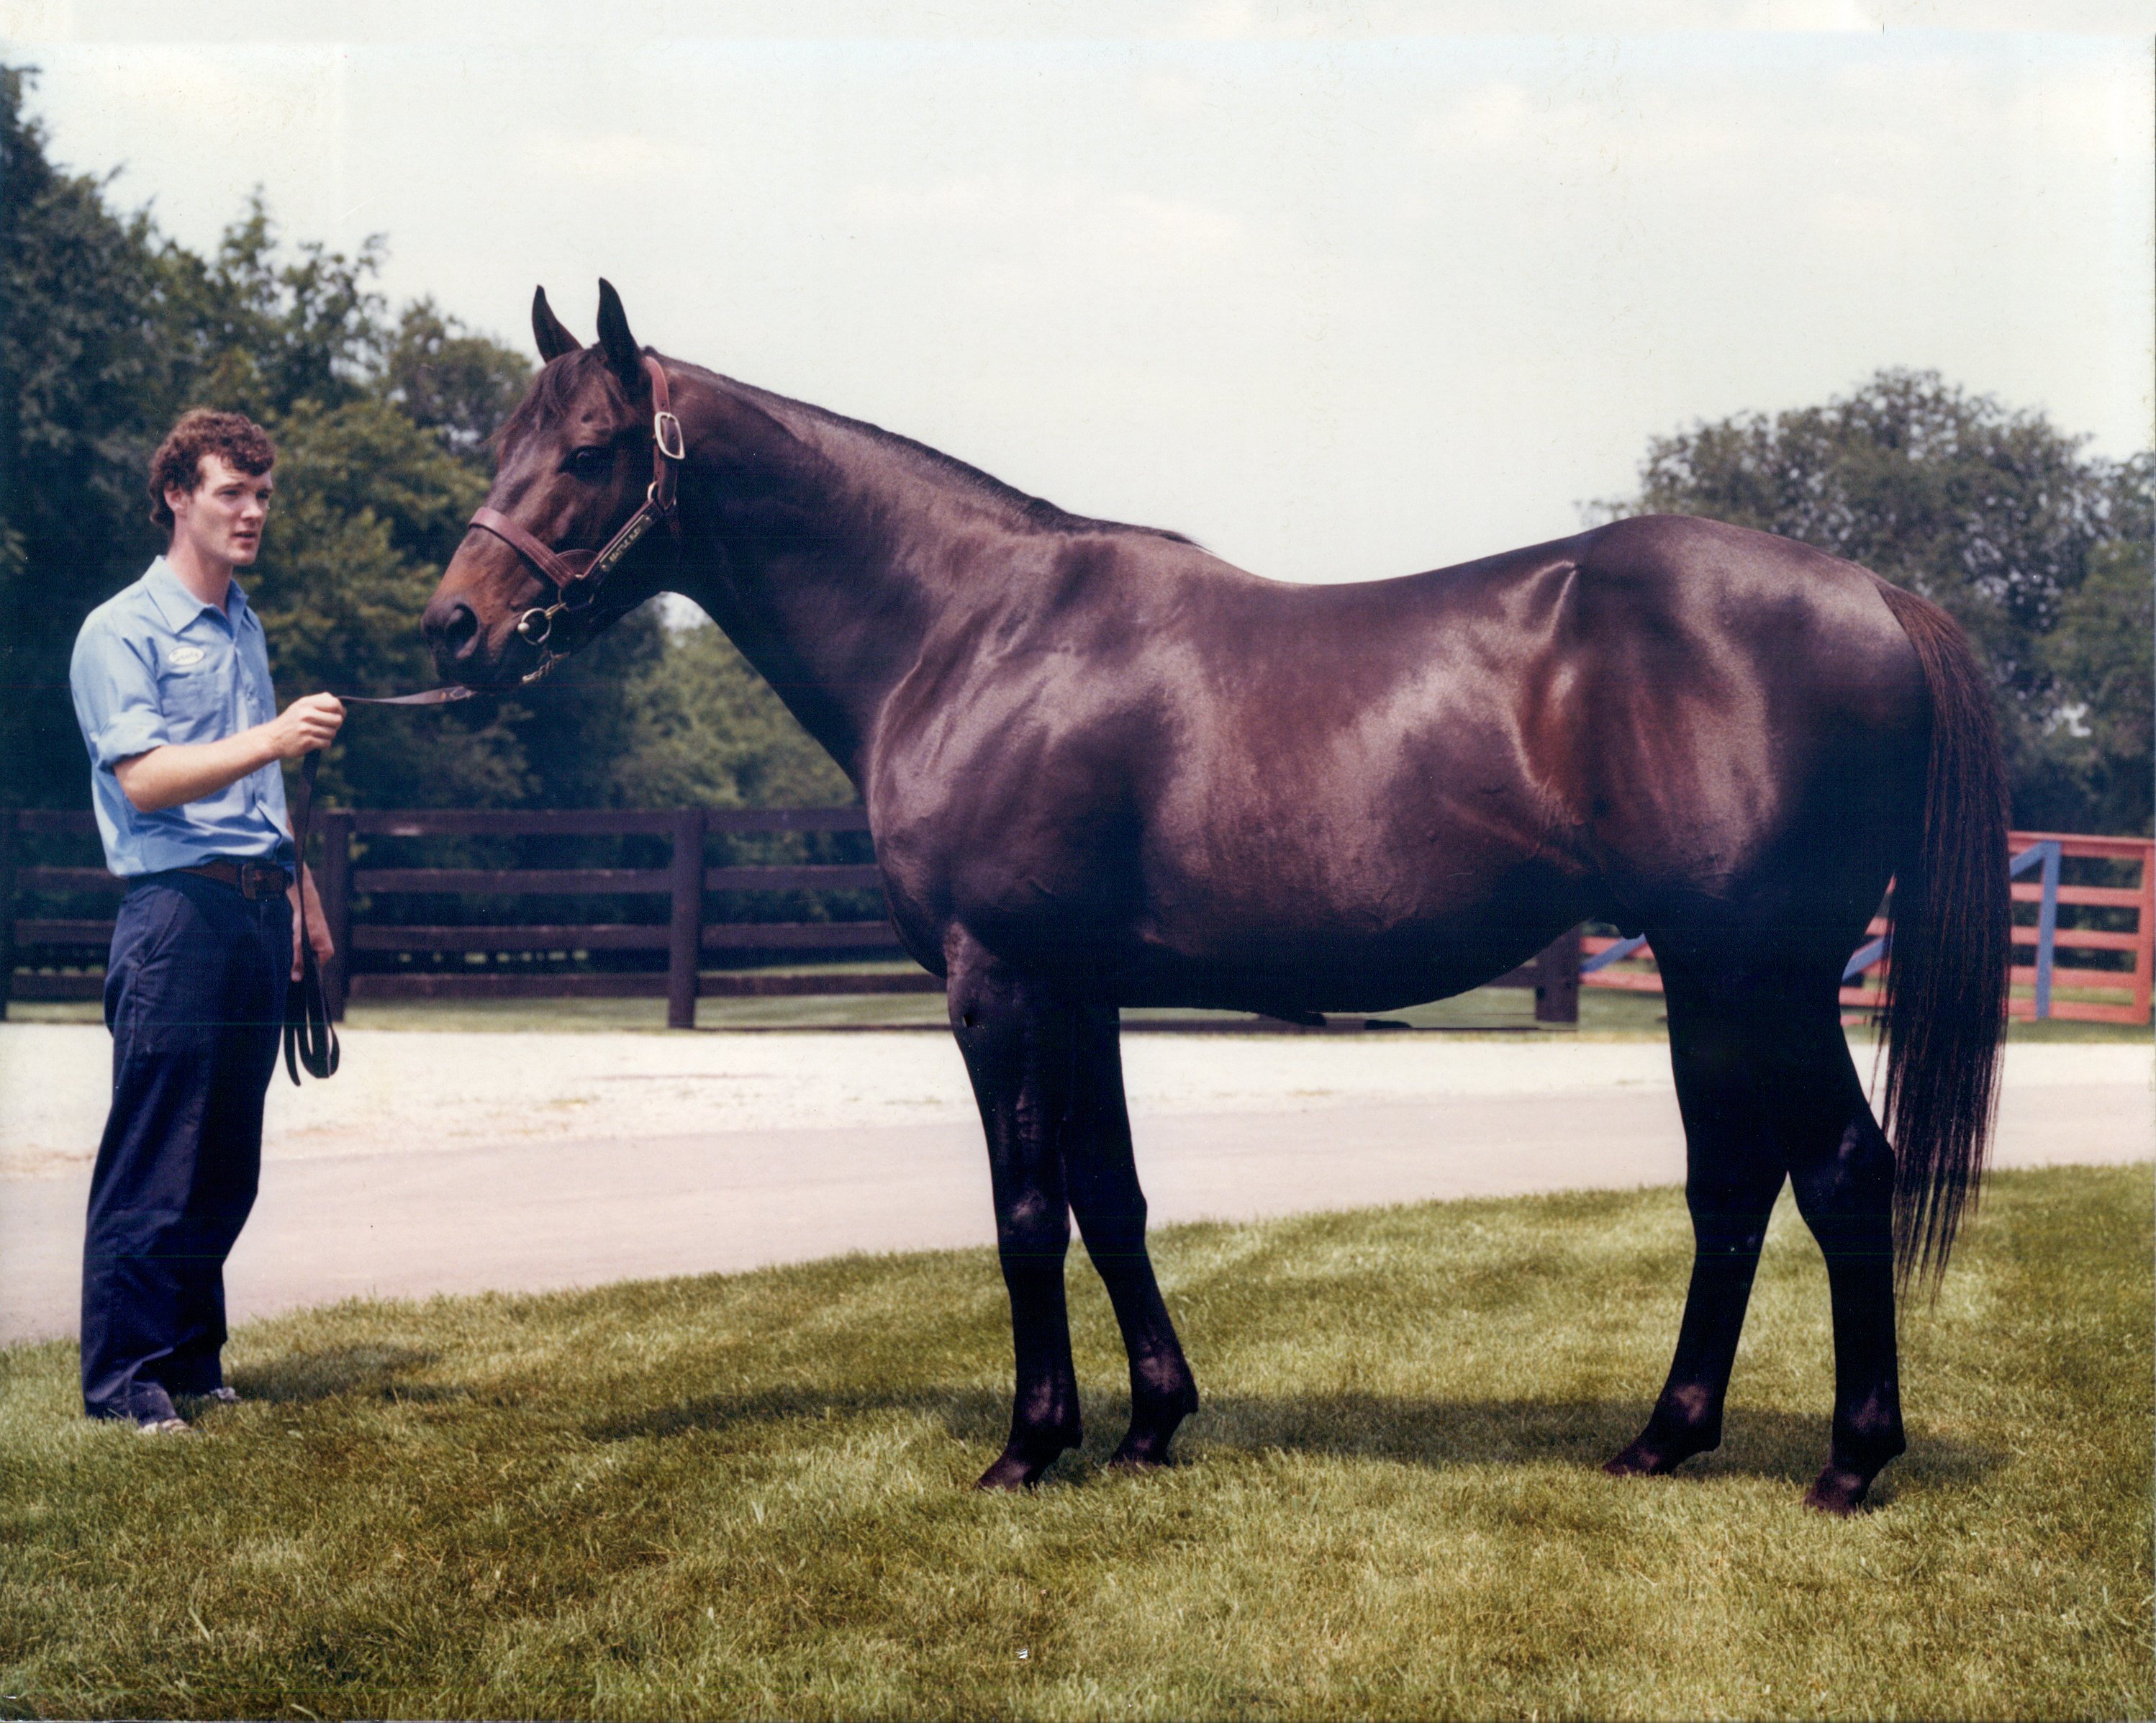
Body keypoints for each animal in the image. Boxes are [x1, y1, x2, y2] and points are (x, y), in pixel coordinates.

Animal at [425, 280, 2018, 1509]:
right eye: (505, 441)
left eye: (589, 449)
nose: (455, 626)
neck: (968, 630)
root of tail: (1874, 594)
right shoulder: (1077, 989)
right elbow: (1111, 1196)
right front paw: (1147, 1424)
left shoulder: (996, 982)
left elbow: (1024, 1207)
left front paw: (1028, 1448)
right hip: (1705, 979)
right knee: (1733, 1187)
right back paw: (1662, 1440)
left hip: (1766, 976)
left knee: (1845, 1174)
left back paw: (1849, 1464)